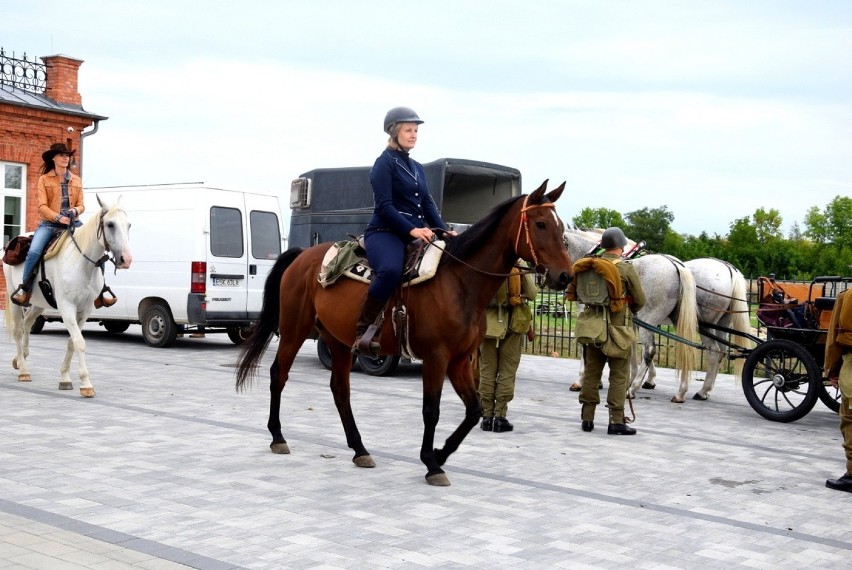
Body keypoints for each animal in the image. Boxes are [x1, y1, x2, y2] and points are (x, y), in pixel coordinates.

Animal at [3, 195, 133, 394]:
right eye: (110, 224)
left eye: (128, 225)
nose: (126, 260)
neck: (82, 264)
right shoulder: (67, 307)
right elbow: (79, 341)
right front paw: (86, 383)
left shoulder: (85, 310)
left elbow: (72, 342)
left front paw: (65, 378)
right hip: (14, 299)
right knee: (18, 330)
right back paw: (24, 371)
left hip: (39, 303)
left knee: (27, 324)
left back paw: (21, 359)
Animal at [235, 181, 572, 484]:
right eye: (541, 224)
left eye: (561, 228)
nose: (565, 276)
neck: (459, 281)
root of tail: (303, 254)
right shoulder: (437, 358)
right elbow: (431, 410)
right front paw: (431, 463)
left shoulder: (460, 360)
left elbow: (474, 410)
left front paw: (441, 453)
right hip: (294, 330)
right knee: (279, 375)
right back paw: (278, 436)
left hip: (339, 341)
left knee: (340, 390)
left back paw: (359, 449)